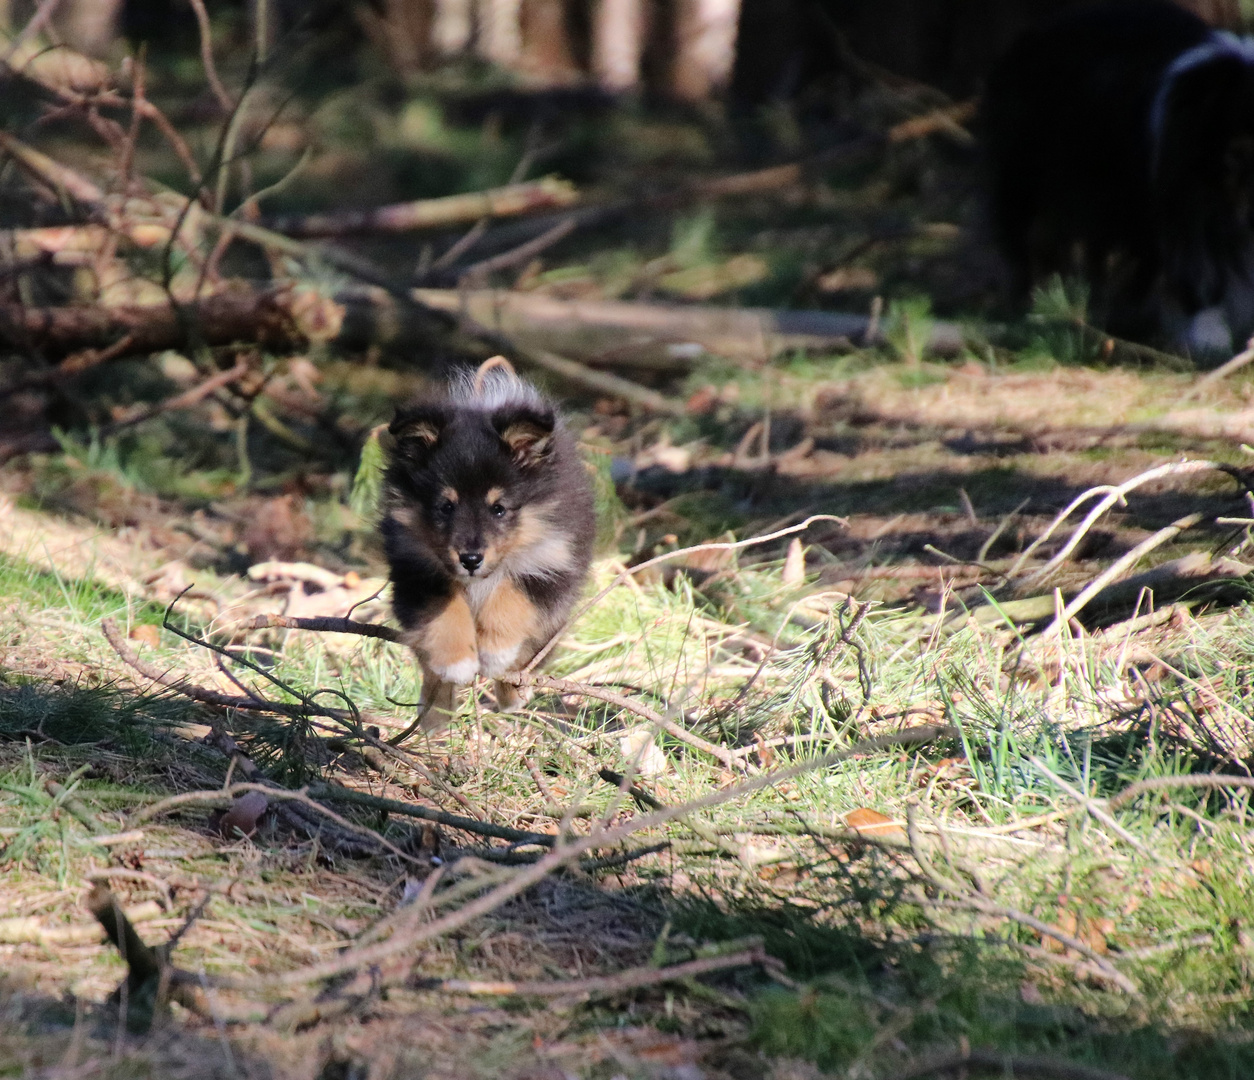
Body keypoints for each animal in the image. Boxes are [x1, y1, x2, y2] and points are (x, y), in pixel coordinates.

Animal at [378, 366, 594, 727]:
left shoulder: (551, 565)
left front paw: (495, 653)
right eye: (445, 506)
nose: (470, 559)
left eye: (499, 508)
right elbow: (444, 612)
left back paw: (513, 693)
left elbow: (511, 596)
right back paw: (434, 712)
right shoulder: (416, 571)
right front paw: (456, 663)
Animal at [983, 0, 1254, 353]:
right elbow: (1196, 270)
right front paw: (1208, 338)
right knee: (1027, 245)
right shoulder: (1181, 202)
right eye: (1239, 148)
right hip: (1024, 178)